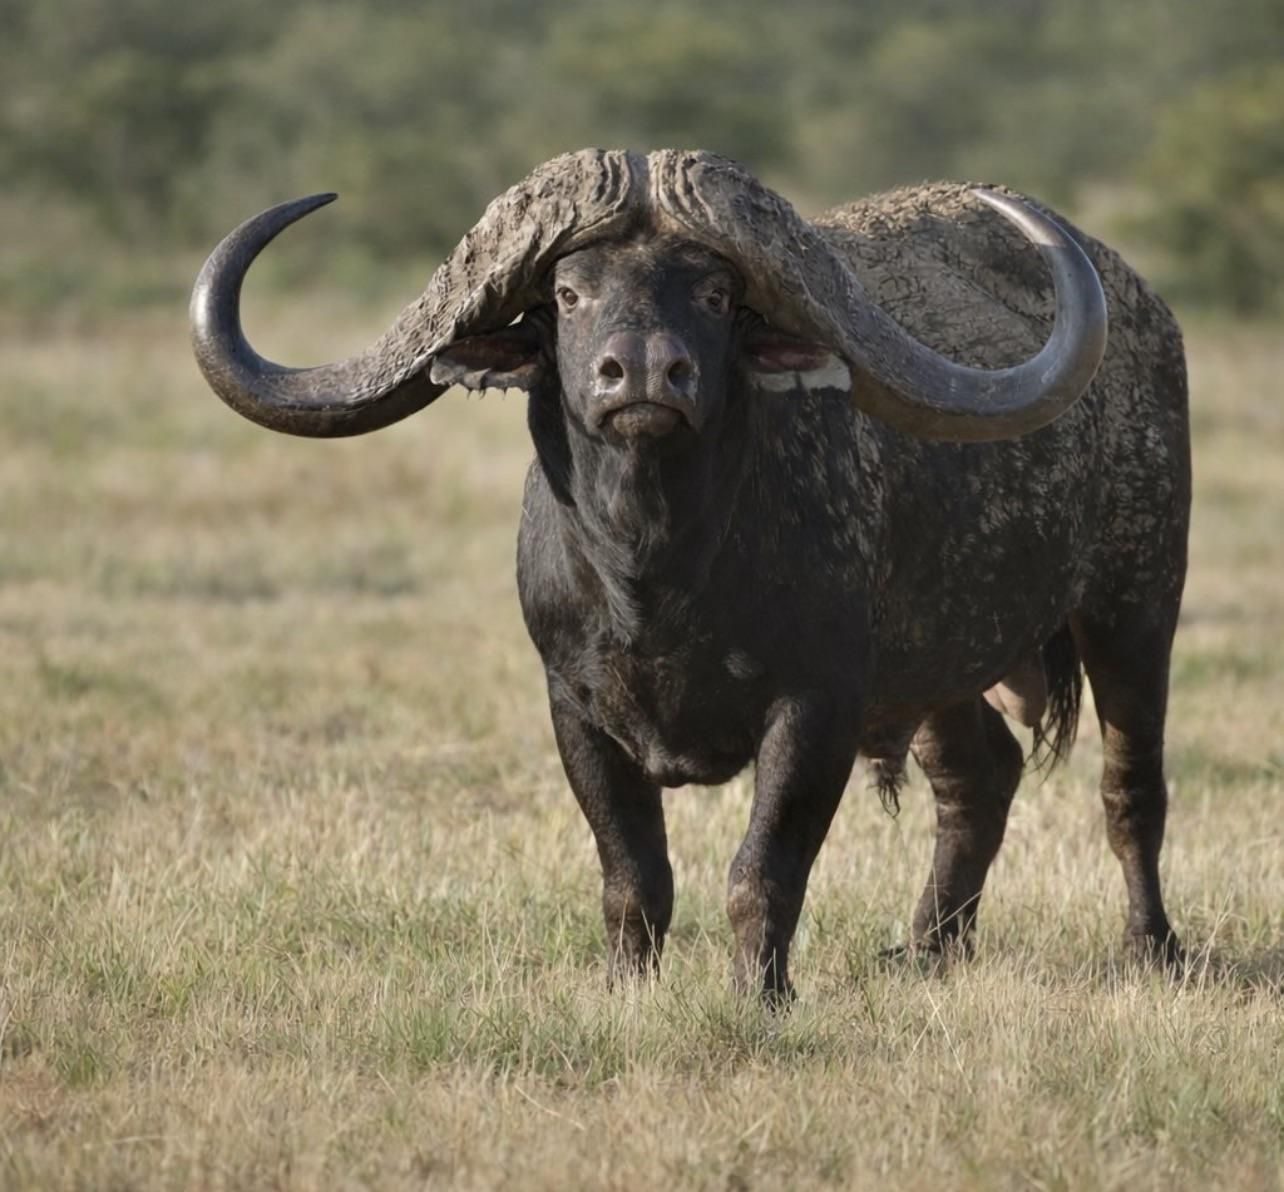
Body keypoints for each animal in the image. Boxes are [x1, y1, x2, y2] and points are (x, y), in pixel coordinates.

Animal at [191, 149, 1189, 1001]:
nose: (641, 372)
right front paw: (625, 990)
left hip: (1136, 603)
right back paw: (928, 950)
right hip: (939, 663)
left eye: (714, 292)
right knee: (979, 775)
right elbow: (633, 874)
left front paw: (762, 995)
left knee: (1129, 786)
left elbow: (763, 869)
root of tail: (1147, 315)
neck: (657, 575)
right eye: (568, 292)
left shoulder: (816, 706)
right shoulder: (574, 706)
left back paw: (1151, 948)